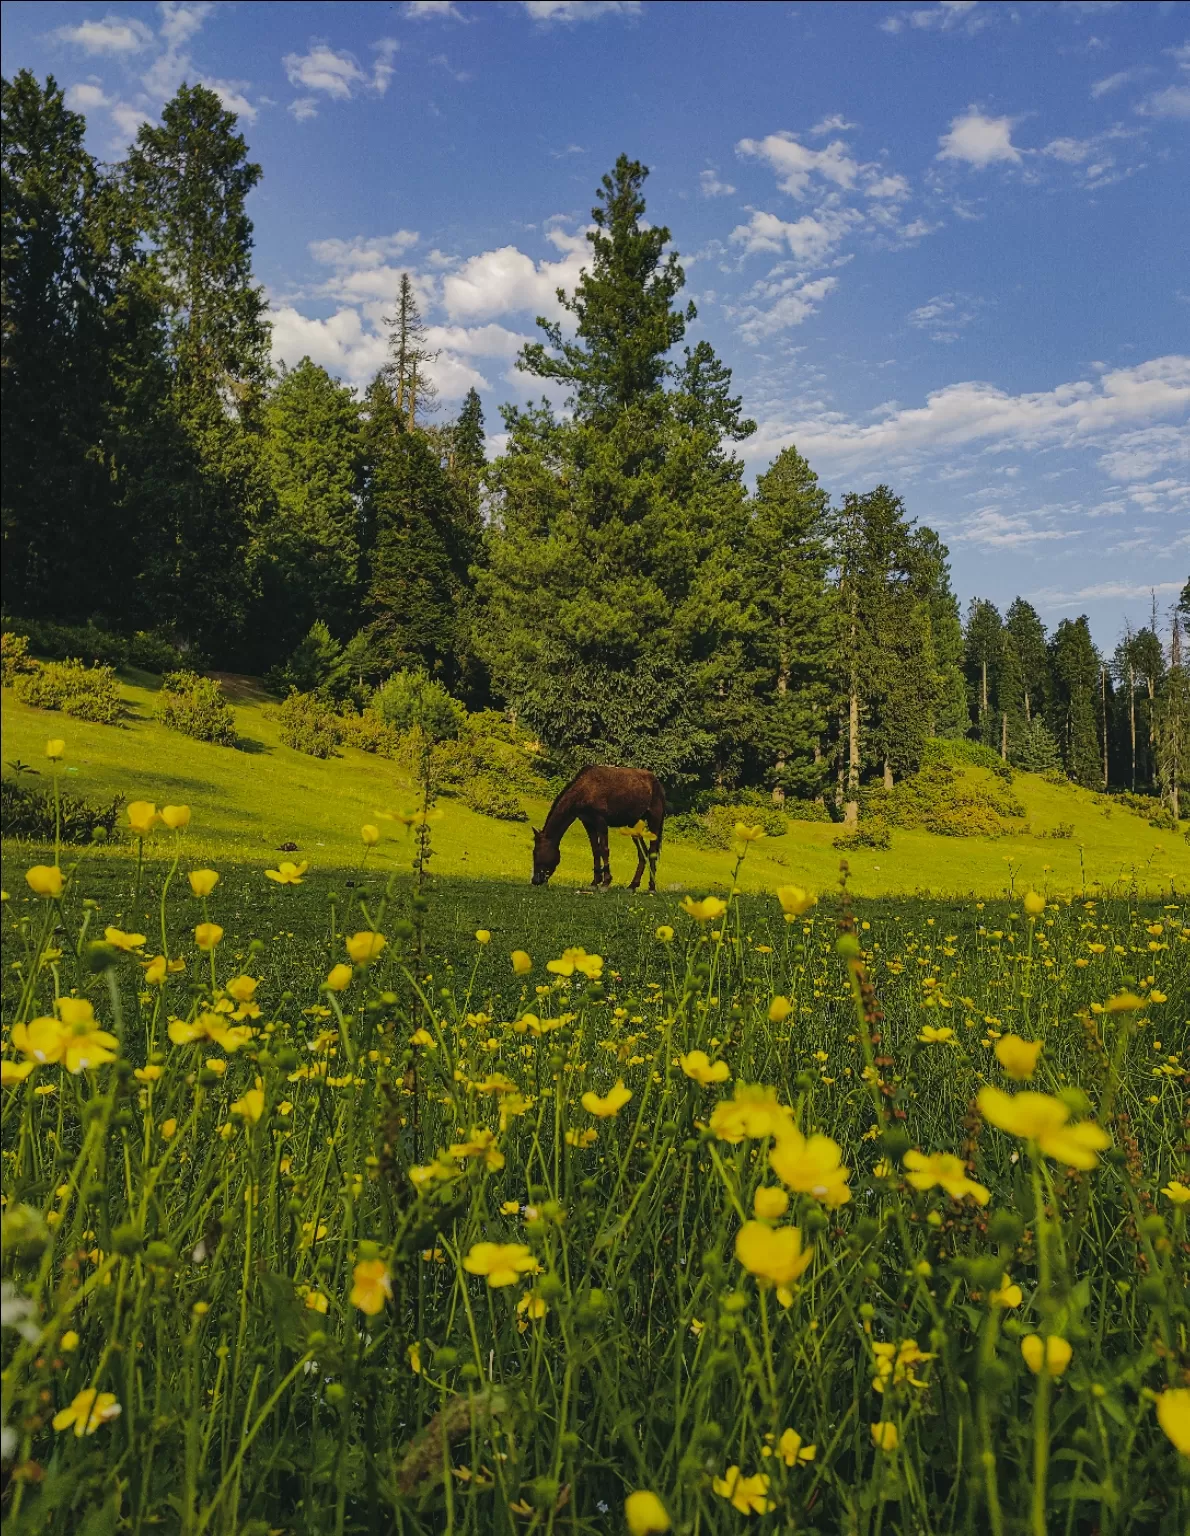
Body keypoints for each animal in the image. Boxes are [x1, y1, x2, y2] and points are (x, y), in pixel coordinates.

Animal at [534, 764, 666, 890]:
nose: (535, 880)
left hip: (654, 821)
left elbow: (604, 849)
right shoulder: (588, 823)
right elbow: (595, 850)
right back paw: (632, 886)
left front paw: (606, 882)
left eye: (537, 854)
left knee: (652, 852)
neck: (586, 788)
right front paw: (595, 882)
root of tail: (658, 784)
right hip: (633, 825)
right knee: (643, 852)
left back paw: (652, 887)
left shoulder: (601, 821)